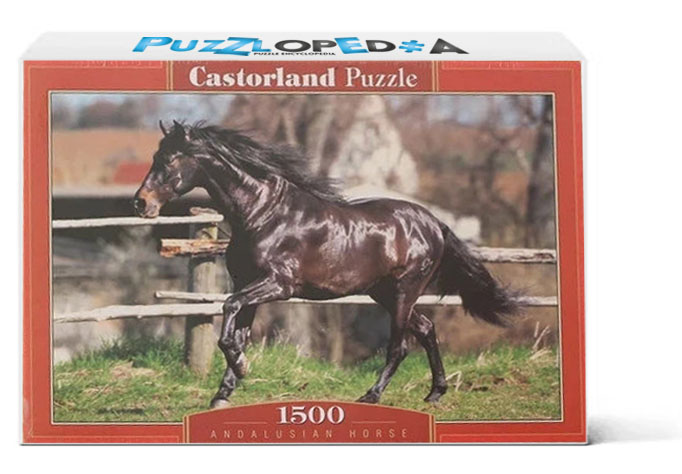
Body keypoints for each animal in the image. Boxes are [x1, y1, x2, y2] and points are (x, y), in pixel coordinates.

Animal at [134, 120, 518, 408]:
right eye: (155, 155)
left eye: (170, 159)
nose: (141, 203)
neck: (262, 214)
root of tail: (434, 223)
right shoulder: (247, 284)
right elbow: (237, 331)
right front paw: (223, 393)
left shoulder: (278, 285)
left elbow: (229, 314)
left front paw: (242, 368)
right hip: (384, 293)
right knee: (425, 328)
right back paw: (435, 392)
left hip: (403, 291)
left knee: (400, 345)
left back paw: (371, 395)